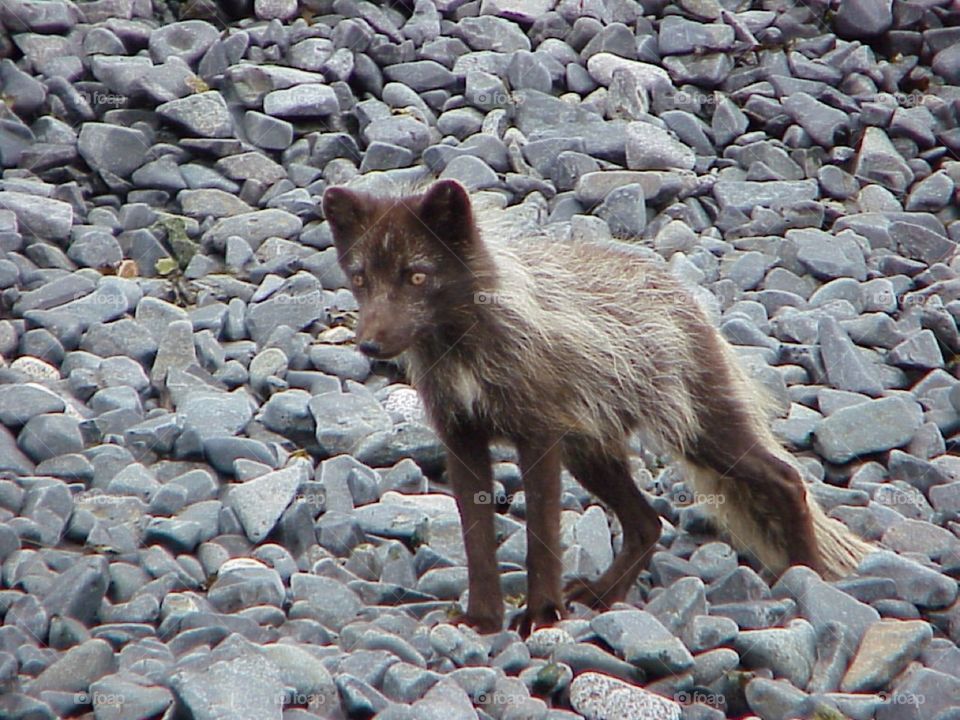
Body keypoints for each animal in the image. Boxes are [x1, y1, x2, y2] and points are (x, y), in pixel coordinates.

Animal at [321, 178, 874, 634]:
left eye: (416, 277)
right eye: (361, 278)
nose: (369, 345)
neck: (466, 352)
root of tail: (682, 295)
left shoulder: (538, 438)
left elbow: (542, 537)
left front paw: (542, 616)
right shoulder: (463, 440)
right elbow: (476, 539)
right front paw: (482, 621)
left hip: (701, 436)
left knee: (787, 479)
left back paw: (808, 575)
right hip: (590, 453)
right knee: (647, 525)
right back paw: (604, 597)